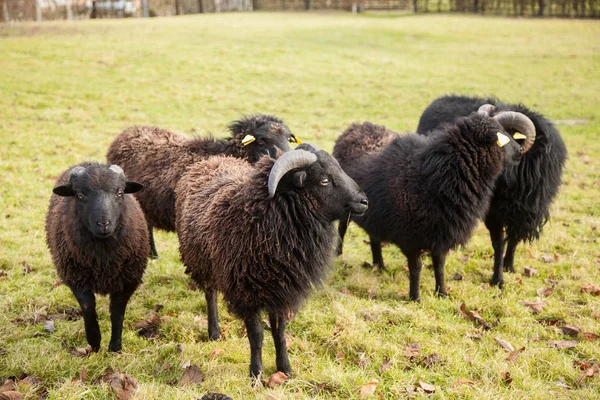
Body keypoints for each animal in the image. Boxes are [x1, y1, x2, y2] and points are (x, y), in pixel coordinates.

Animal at [45, 162, 149, 350]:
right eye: (80, 195)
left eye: (119, 192)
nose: (104, 224)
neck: (103, 258)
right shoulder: (76, 277)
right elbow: (88, 307)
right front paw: (94, 342)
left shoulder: (127, 281)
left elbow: (117, 313)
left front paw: (115, 347)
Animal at [176, 145, 368, 380]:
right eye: (324, 180)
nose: (364, 201)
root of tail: (212, 160)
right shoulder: (247, 292)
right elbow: (256, 335)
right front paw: (256, 374)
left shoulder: (282, 291)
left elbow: (280, 332)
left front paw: (285, 369)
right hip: (201, 263)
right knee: (210, 294)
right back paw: (214, 332)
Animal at [332, 106, 536, 300]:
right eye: (503, 135)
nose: (520, 152)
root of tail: (356, 126)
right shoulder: (410, 236)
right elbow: (416, 268)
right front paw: (415, 298)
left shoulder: (443, 233)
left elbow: (439, 265)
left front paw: (442, 293)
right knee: (342, 227)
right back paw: (338, 253)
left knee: (374, 236)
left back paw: (379, 265)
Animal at [418, 95, 568, 286]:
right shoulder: (493, 212)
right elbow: (499, 244)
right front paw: (498, 279)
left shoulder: (524, 212)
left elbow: (513, 240)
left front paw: (509, 266)